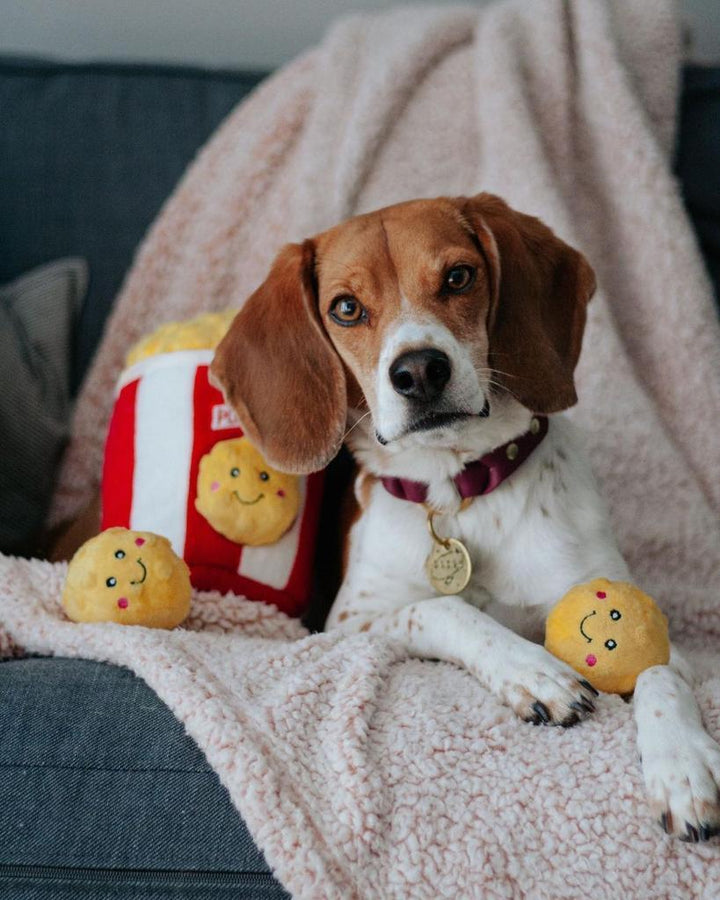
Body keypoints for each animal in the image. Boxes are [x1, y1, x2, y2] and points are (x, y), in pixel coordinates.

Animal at [211, 193, 716, 840]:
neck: (460, 493)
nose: (419, 371)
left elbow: (658, 674)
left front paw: (683, 766)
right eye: (346, 308)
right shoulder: (351, 625)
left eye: (458, 276)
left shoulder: (645, 624)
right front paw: (534, 672)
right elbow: (445, 609)